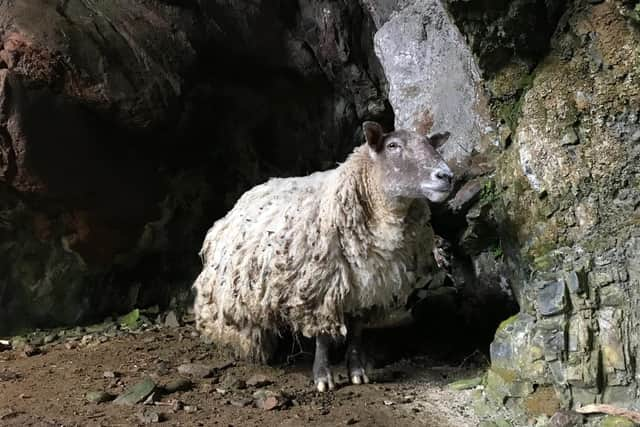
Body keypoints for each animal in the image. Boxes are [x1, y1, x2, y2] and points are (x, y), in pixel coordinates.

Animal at [195, 120, 456, 392]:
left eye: (430, 144)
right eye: (393, 146)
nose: (446, 176)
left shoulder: (367, 288)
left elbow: (356, 332)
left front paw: (357, 372)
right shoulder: (320, 287)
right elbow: (322, 338)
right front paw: (323, 377)